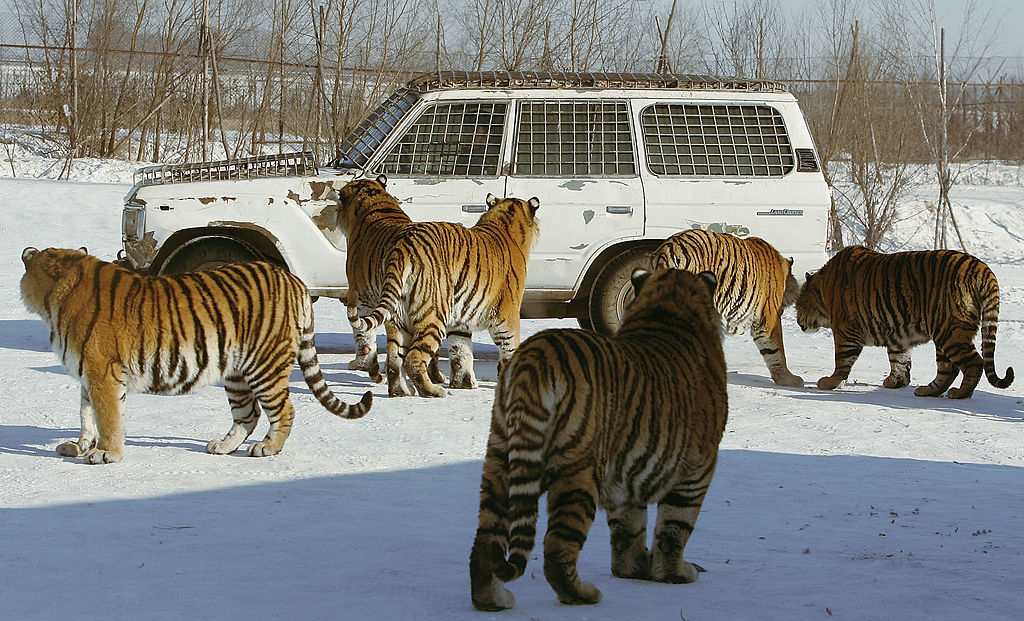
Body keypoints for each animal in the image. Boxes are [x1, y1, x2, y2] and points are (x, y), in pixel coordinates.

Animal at [20, 247, 372, 464]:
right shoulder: (88, 375)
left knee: (283, 409)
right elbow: (86, 415)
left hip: (264, 364)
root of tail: (293, 279)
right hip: (236, 371)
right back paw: (222, 446)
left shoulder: (102, 372)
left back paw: (267, 448)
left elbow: (107, 418)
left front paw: (106, 453)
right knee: (248, 414)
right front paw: (79, 446)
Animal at [349, 193, 540, 398]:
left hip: (398, 319)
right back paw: (433, 391)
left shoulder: (460, 321)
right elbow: (510, 350)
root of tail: (402, 247)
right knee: (413, 359)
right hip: (434, 314)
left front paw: (463, 384)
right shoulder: (507, 317)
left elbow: (460, 351)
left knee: (394, 360)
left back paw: (401, 391)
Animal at [469, 267, 728, 611]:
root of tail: (536, 355)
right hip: (578, 471)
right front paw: (675, 574)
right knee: (557, 551)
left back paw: (492, 600)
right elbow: (674, 529)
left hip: (499, 459)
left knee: (484, 543)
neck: (668, 307)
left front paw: (633, 569)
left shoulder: (627, 477)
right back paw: (583, 595)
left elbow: (628, 530)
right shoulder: (696, 471)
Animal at [795, 245, 1014, 398]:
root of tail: (982, 267)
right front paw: (896, 382)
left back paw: (960, 394)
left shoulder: (845, 331)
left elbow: (842, 360)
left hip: (950, 332)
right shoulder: (897, 334)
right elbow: (899, 360)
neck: (824, 290)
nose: (798, 322)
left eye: (799, 305)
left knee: (974, 363)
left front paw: (830, 382)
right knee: (947, 370)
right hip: (944, 333)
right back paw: (928, 391)